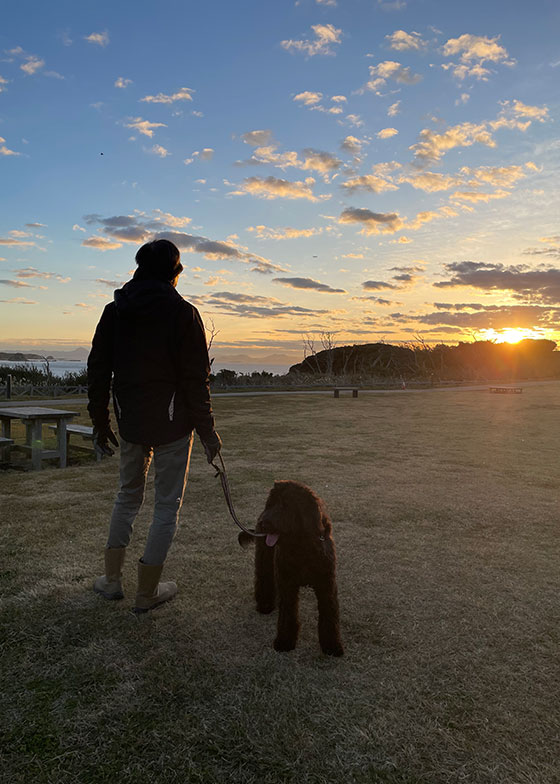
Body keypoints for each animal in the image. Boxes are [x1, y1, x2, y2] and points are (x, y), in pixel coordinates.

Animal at [243, 478, 344, 656]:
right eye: (271, 503)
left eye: (285, 506)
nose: (263, 522)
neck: (302, 546)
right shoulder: (287, 584)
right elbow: (287, 613)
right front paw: (284, 642)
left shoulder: (326, 584)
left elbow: (329, 614)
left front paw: (332, 646)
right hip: (265, 558)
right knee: (264, 578)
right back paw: (265, 604)